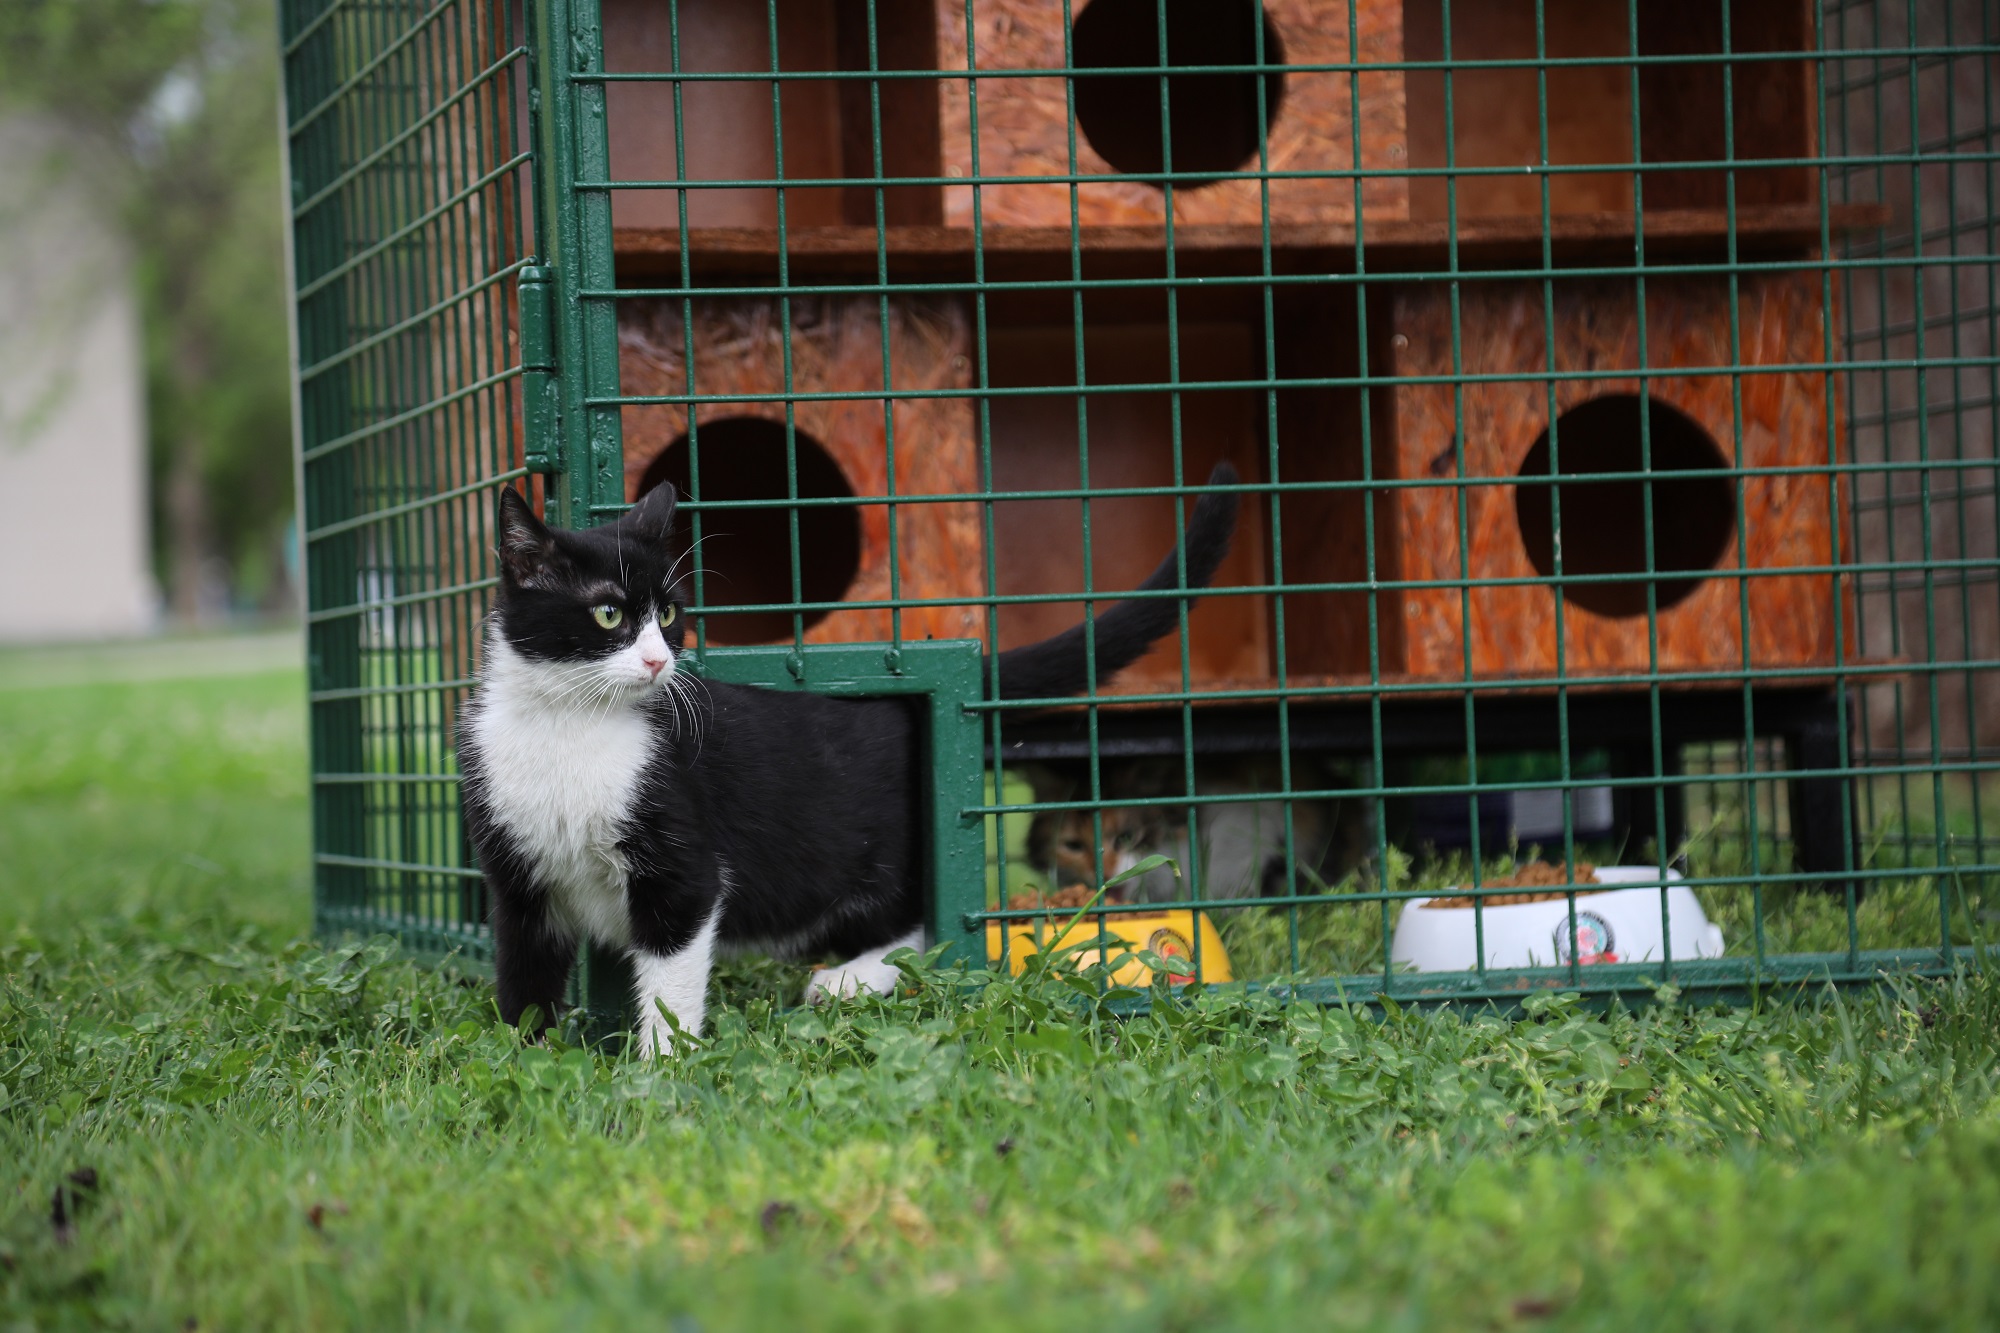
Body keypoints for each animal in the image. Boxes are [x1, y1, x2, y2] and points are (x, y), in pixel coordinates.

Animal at [458, 464, 1232, 1048]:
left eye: (670, 614)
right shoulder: (515, 873)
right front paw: (527, 1055)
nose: (658, 660)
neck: (569, 725)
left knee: (923, 920)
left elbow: (674, 972)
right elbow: (523, 973)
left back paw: (852, 977)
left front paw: (662, 1073)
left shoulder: (682, 860)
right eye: (610, 614)